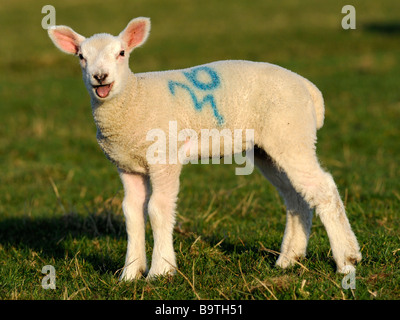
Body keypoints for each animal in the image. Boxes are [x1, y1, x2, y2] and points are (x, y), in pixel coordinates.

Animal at [47, 16, 362, 280]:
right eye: (81, 57)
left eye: (122, 53)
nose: (100, 77)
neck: (135, 97)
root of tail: (310, 89)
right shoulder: (127, 164)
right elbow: (132, 213)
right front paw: (130, 274)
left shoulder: (165, 157)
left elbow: (157, 209)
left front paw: (161, 271)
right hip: (268, 148)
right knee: (296, 197)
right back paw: (289, 260)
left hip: (291, 134)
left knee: (324, 189)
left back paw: (347, 260)